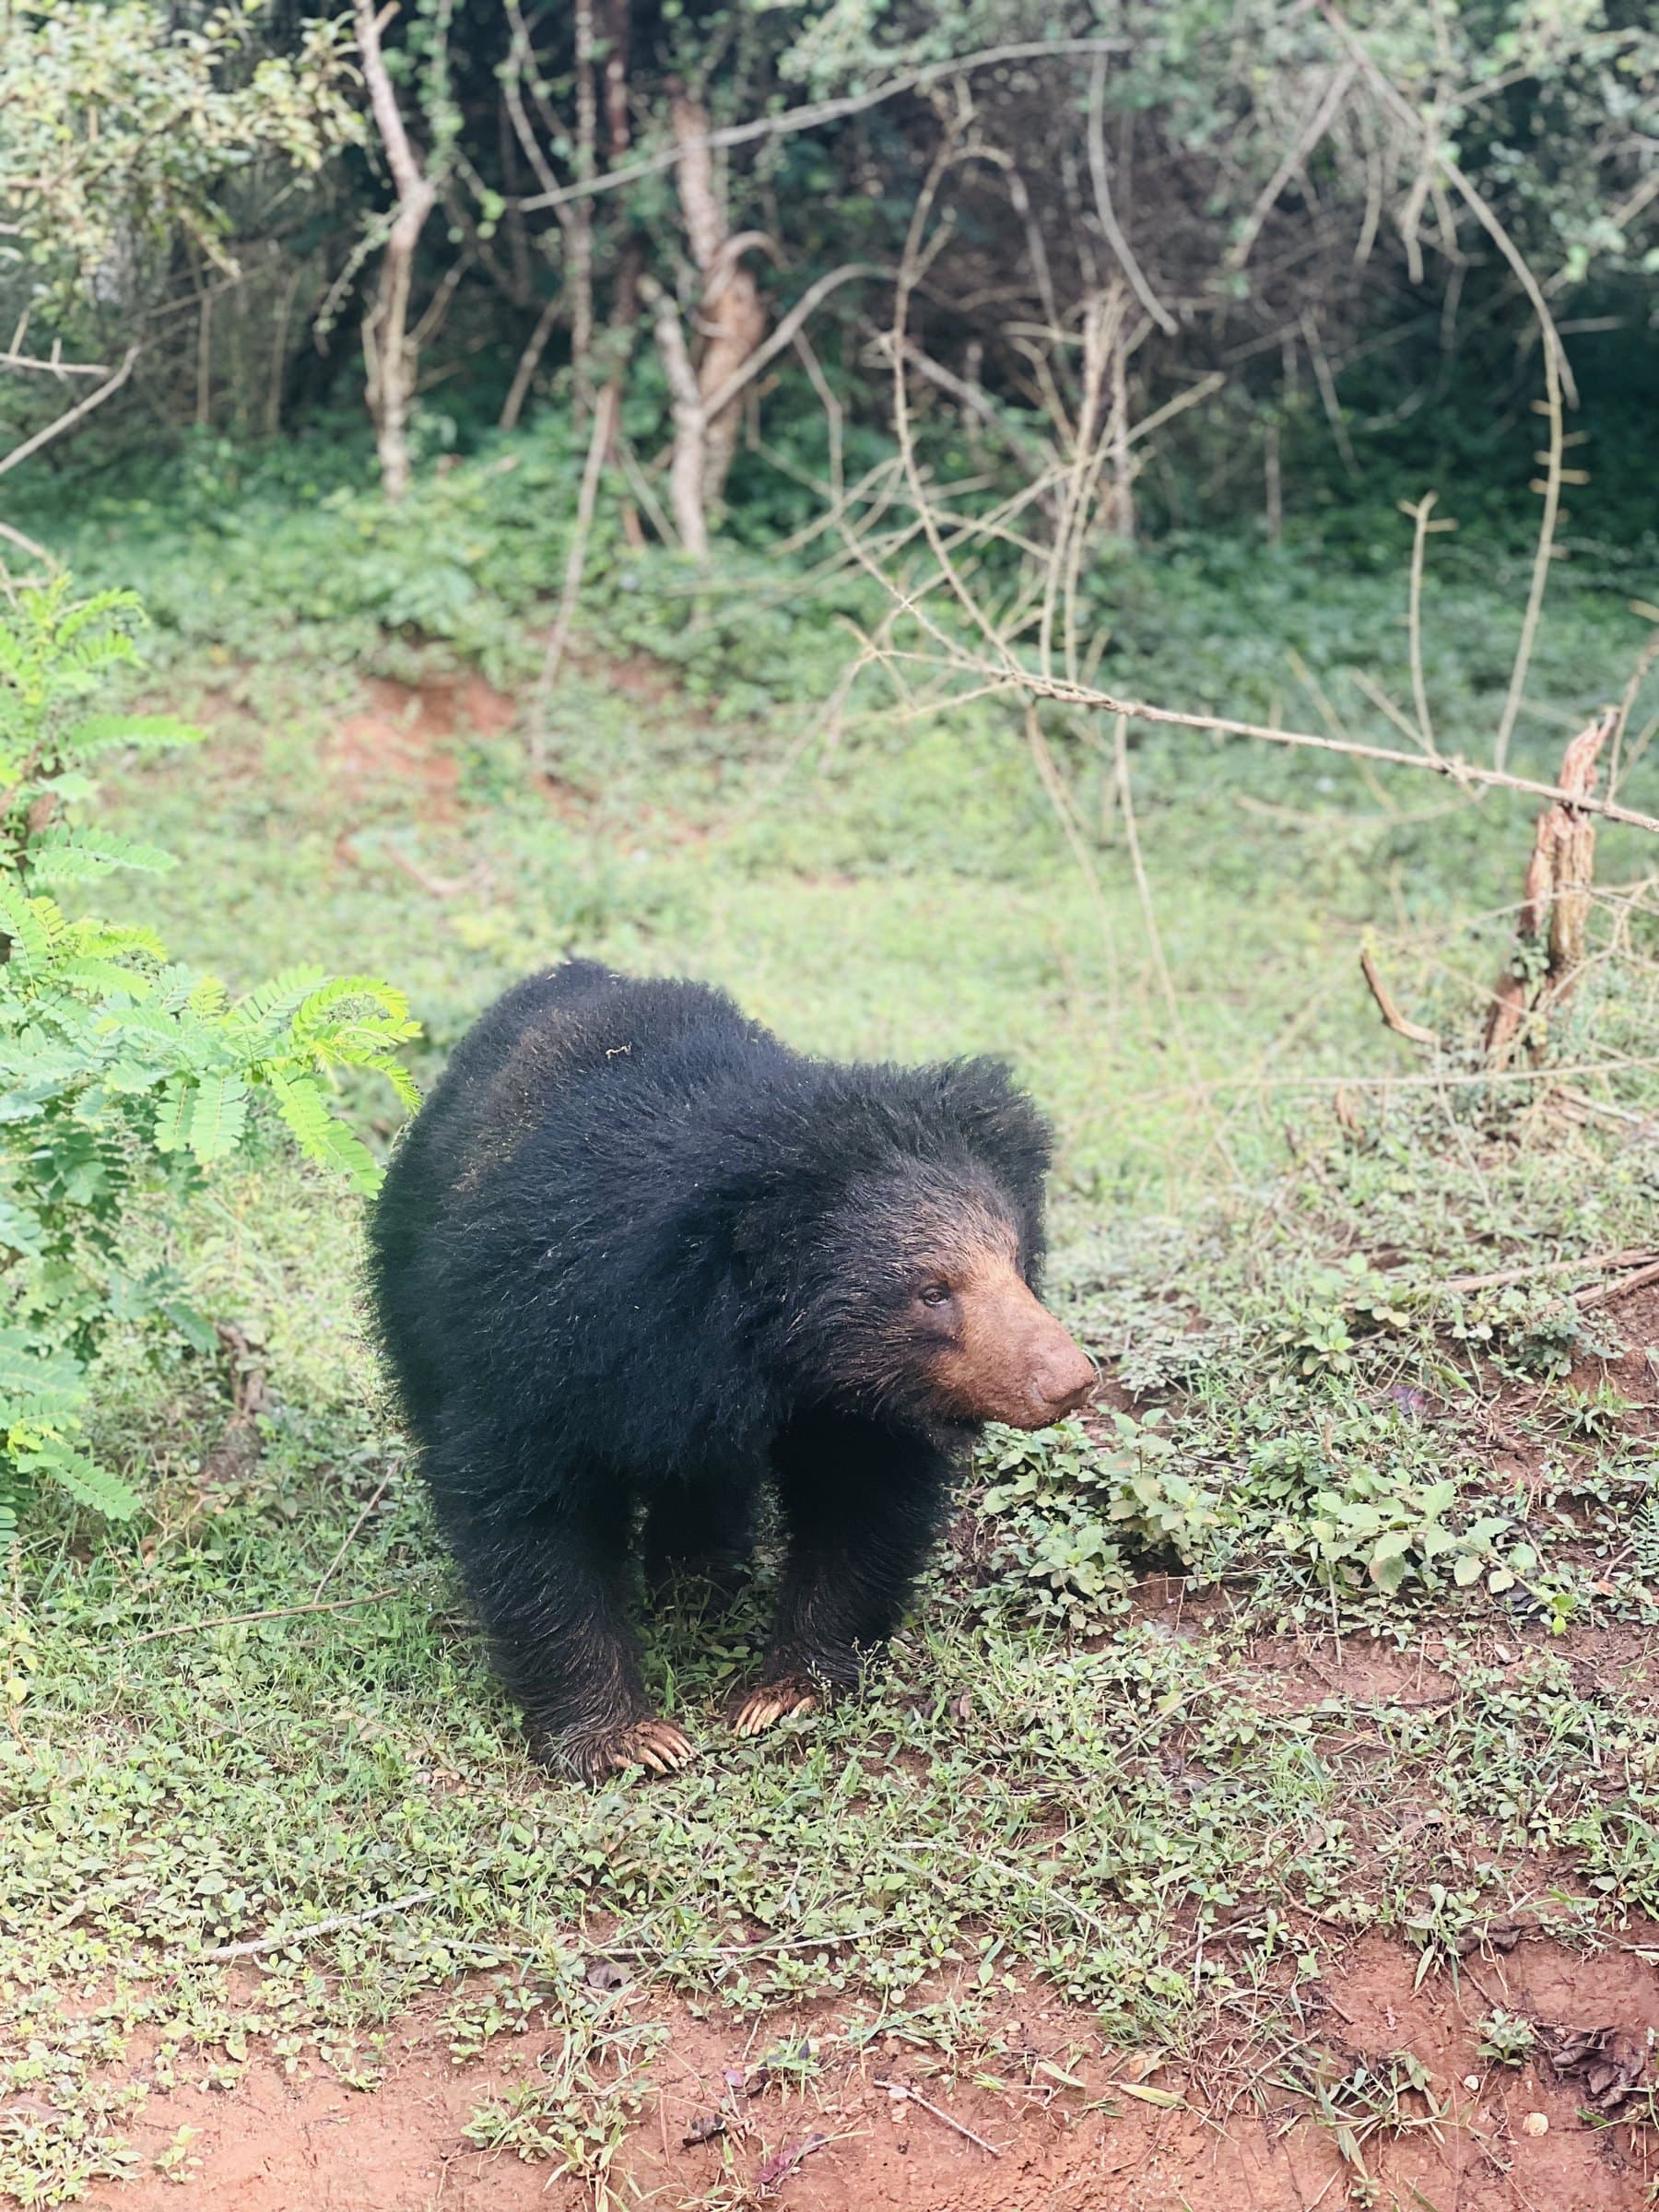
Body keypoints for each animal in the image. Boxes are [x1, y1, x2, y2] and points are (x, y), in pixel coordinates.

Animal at [367, 961, 1094, 1781]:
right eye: (932, 1291)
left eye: (1016, 1261)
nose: (1070, 1380)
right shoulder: (537, 1343)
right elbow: (532, 1512)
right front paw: (629, 1740)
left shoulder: (855, 1403)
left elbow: (861, 1500)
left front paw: (786, 1693)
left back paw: (700, 1578)